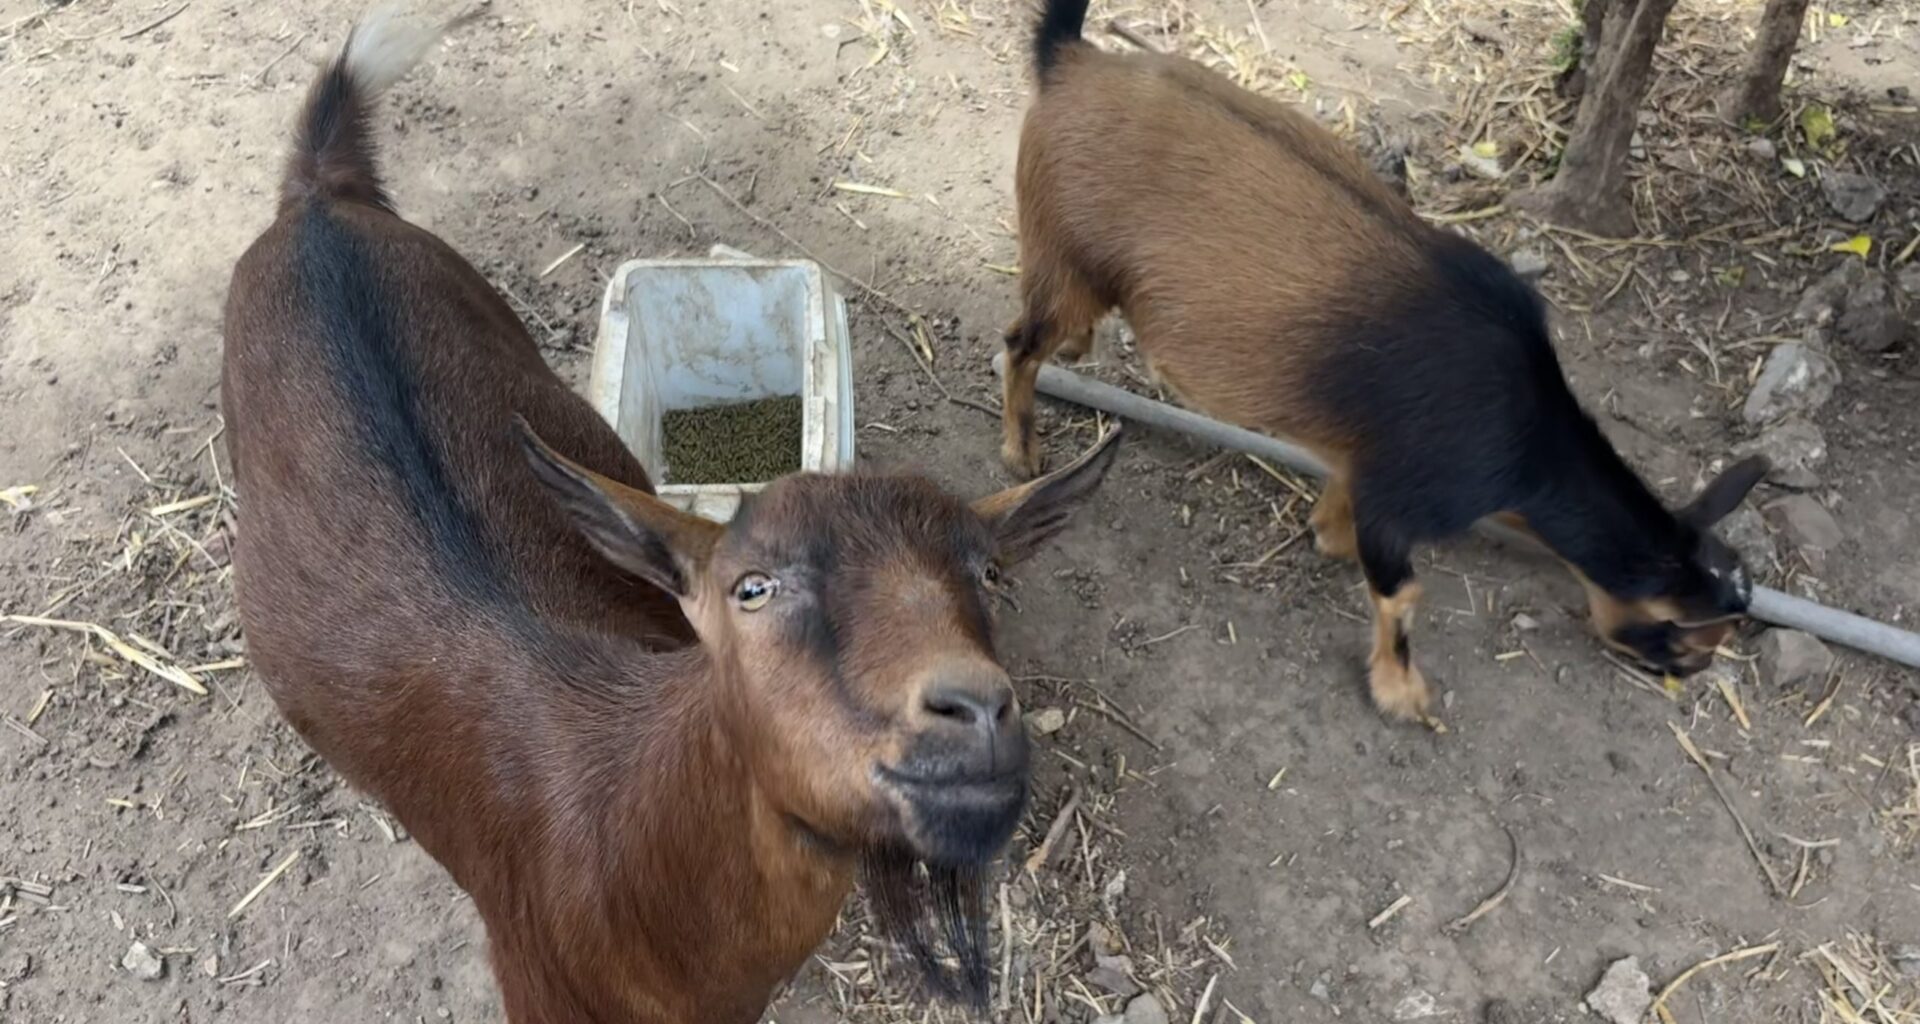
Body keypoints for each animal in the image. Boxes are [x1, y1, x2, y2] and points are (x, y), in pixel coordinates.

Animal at [1000, 0, 1766, 726]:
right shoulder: (1407, 497)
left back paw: (1078, 349)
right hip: (1065, 251)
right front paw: (1401, 692)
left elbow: (1341, 517)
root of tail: (1070, 60)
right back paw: (1021, 451)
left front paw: (1328, 536)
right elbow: (1402, 595)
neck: (1527, 438)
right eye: (1687, 638)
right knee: (1019, 346)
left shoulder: (1365, 462)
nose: (1691, 674)